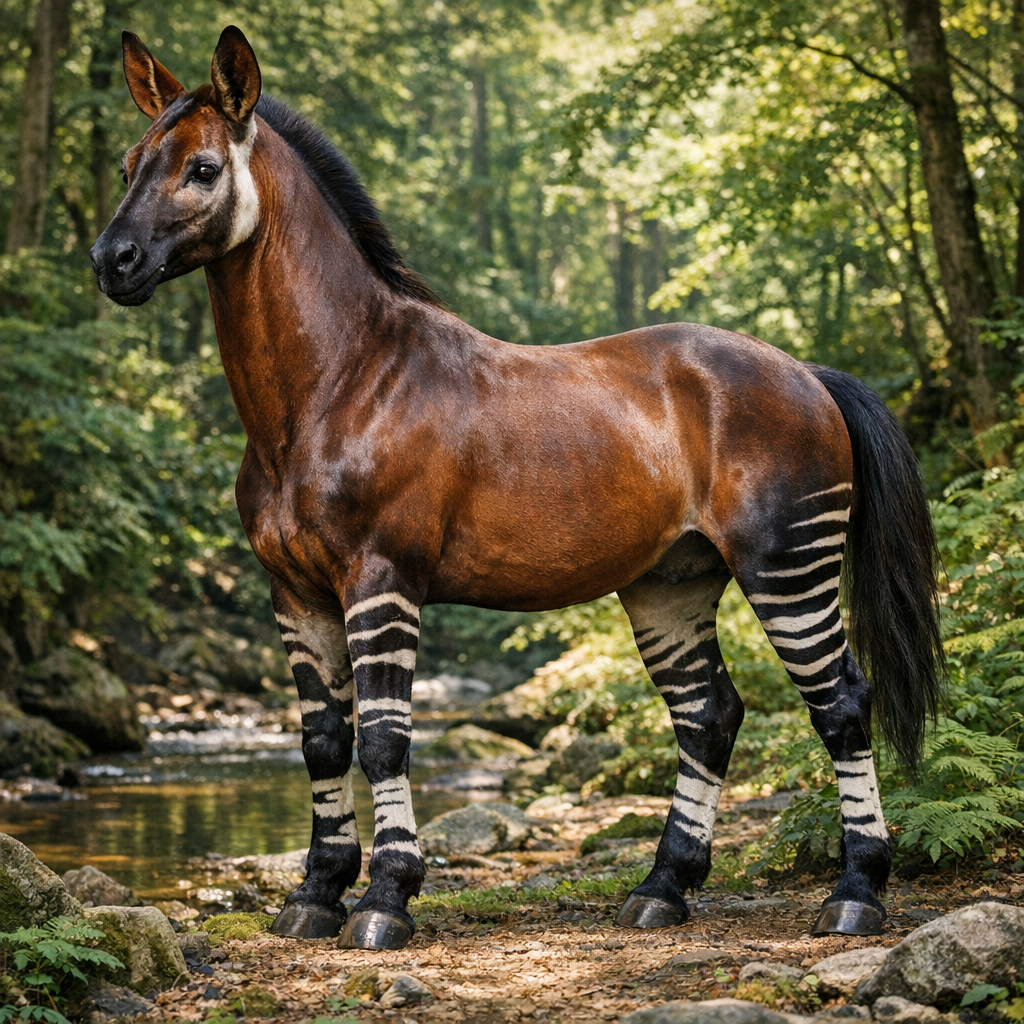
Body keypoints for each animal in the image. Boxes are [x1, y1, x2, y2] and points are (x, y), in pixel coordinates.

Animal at [91, 26, 942, 951]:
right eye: (130, 162)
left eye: (203, 168)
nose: (110, 261)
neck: (334, 384)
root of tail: (811, 374)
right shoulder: (294, 591)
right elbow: (322, 742)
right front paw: (315, 896)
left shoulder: (381, 578)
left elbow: (383, 741)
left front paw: (385, 900)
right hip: (672, 582)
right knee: (709, 715)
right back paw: (661, 889)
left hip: (787, 564)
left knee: (841, 704)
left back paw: (855, 894)